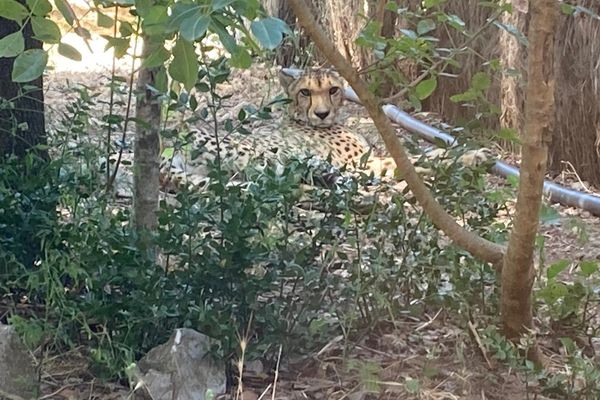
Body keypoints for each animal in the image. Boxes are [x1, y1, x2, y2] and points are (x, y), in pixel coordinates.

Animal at [161, 68, 488, 190]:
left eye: (333, 90)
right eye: (305, 92)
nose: (321, 113)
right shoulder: (362, 162)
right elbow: (412, 161)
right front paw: (475, 157)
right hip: (263, 155)